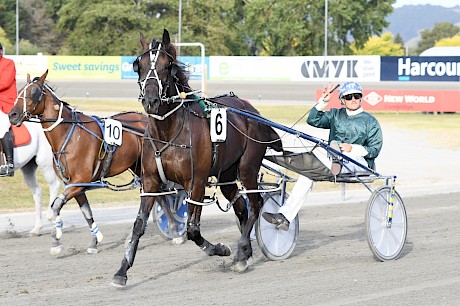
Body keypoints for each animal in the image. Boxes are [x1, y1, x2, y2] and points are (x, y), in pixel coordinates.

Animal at [8, 71, 147, 253]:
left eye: (34, 92)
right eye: (19, 91)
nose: (12, 115)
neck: (69, 133)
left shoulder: (80, 180)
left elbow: (56, 205)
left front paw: (56, 238)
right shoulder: (74, 184)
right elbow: (86, 212)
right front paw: (94, 241)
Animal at [112, 29, 284, 286]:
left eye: (167, 65)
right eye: (138, 65)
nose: (151, 101)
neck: (169, 132)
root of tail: (252, 111)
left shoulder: (197, 181)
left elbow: (193, 230)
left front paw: (220, 249)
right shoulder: (151, 181)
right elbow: (139, 224)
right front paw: (122, 270)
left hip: (247, 168)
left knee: (256, 205)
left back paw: (241, 251)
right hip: (226, 175)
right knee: (241, 207)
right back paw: (245, 252)